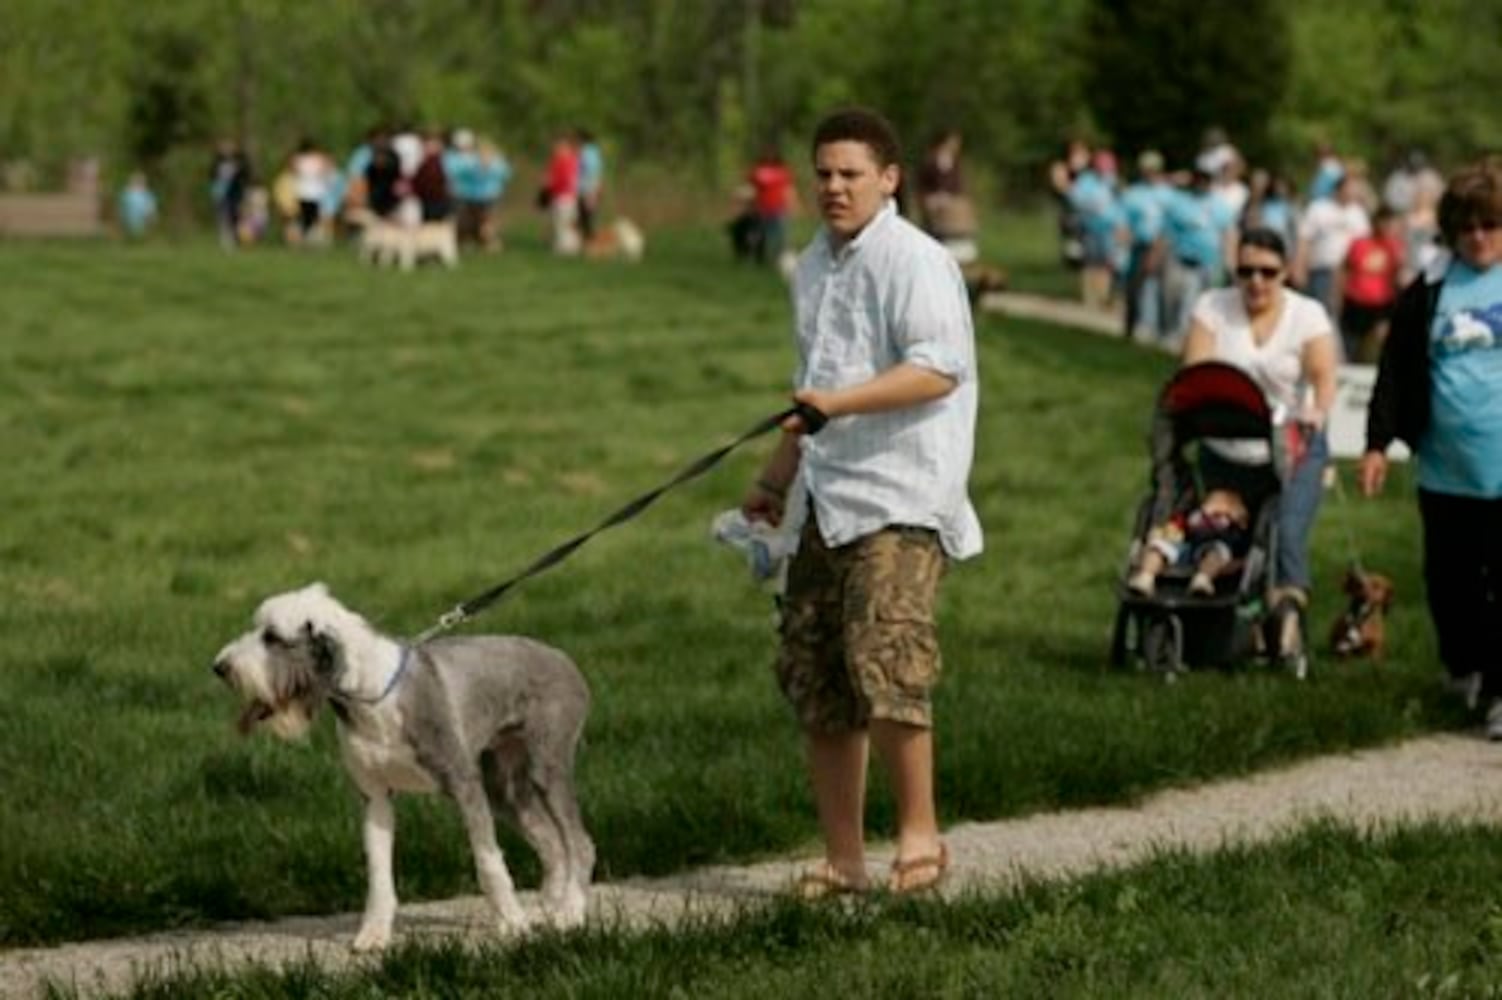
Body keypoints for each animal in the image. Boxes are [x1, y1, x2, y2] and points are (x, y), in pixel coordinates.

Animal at [210, 579, 591, 948]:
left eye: (272, 637)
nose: (219, 667)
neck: (374, 696)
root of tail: (564, 660)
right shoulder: (375, 797)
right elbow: (379, 877)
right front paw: (373, 935)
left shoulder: (465, 786)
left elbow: (489, 862)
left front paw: (512, 926)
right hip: (503, 788)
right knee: (552, 843)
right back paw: (549, 909)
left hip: (546, 767)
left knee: (579, 843)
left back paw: (570, 913)